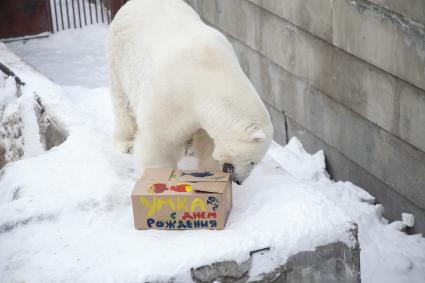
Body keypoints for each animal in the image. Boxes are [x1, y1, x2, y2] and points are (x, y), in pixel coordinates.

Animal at [106, 0, 272, 184]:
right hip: (120, 57)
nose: (239, 181)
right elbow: (159, 140)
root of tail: (130, 3)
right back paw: (126, 142)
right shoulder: (170, 94)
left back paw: (189, 147)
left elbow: (208, 143)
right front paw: (158, 174)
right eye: (252, 161)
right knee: (122, 102)